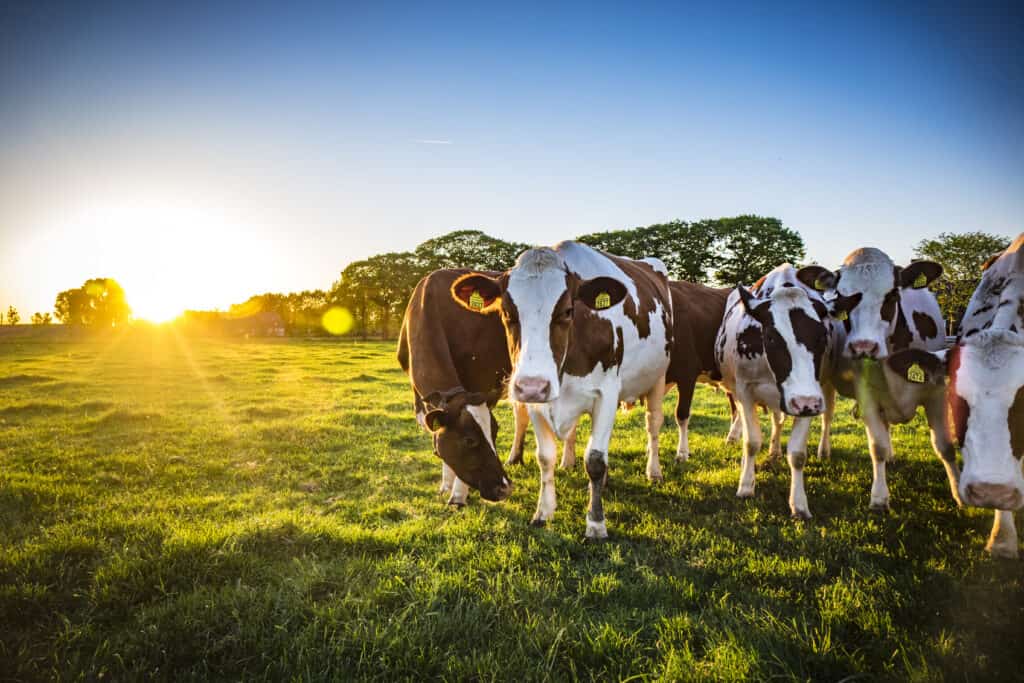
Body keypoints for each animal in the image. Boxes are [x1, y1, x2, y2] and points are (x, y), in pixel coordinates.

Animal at [393, 270, 528, 505]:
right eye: (469, 440)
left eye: (494, 433)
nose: (504, 488)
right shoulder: (424, 398)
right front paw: (446, 485)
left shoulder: (479, 382)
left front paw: (457, 495)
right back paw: (514, 458)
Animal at [446, 241, 671, 540]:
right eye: (507, 313)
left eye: (566, 311)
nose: (532, 386)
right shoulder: (537, 401)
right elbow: (545, 457)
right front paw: (543, 512)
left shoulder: (607, 393)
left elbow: (595, 460)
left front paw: (595, 523)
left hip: (658, 377)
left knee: (653, 423)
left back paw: (653, 471)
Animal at [712, 264, 831, 518]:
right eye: (771, 337)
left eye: (821, 337)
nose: (804, 402)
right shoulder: (745, 391)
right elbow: (751, 442)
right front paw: (746, 486)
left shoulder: (809, 398)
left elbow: (797, 454)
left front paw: (799, 504)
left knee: (778, 421)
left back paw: (775, 450)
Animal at [794, 248, 962, 509]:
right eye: (843, 298)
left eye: (892, 295)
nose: (863, 346)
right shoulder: (867, 395)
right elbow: (878, 446)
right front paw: (880, 497)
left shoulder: (936, 391)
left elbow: (944, 446)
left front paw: (958, 494)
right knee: (828, 414)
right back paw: (824, 450)